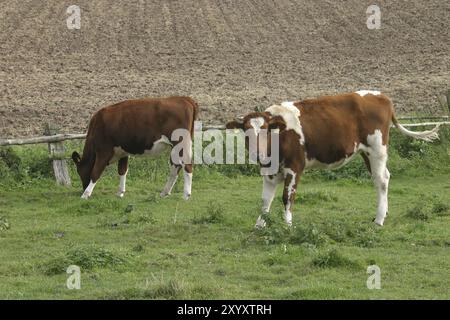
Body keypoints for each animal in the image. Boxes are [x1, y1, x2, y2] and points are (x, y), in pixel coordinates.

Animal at [225, 90, 440, 228]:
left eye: (265, 130)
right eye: (246, 131)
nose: (257, 153)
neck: (281, 135)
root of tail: (380, 95)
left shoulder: (295, 168)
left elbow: (287, 197)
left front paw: (287, 225)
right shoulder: (269, 172)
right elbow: (265, 200)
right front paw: (260, 225)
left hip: (377, 149)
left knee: (381, 180)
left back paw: (379, 220)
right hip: (367, 153)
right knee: (383, 176)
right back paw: (383, 214)